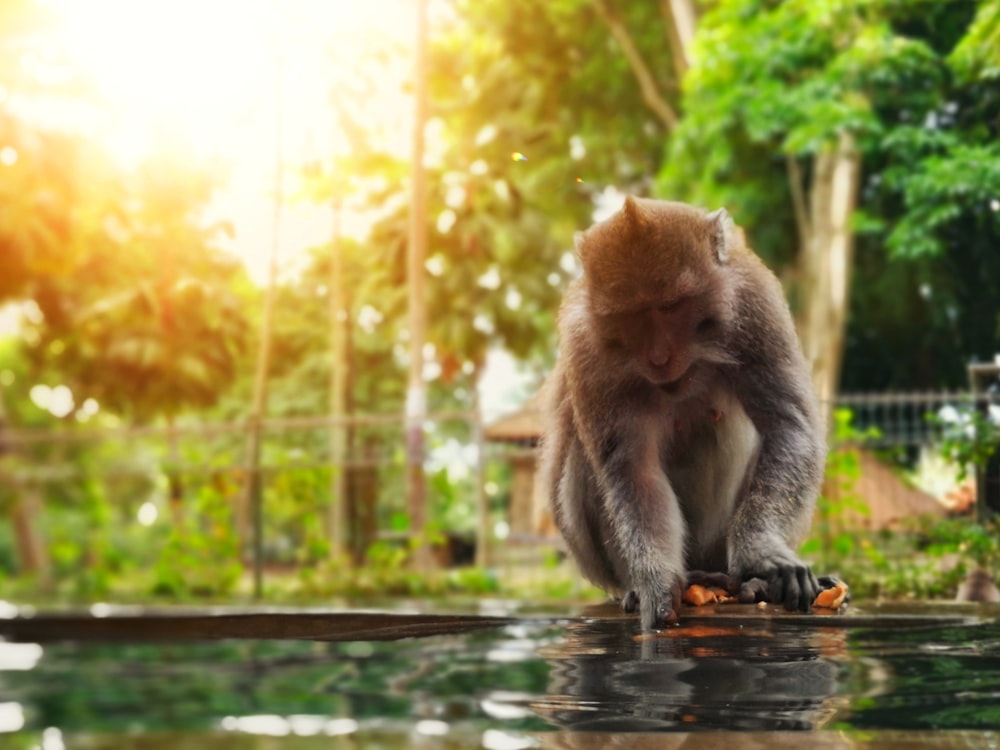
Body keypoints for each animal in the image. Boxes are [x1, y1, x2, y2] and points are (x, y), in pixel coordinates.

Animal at [544, 197, 824, 632]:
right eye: (631, 315)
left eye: (672, 305)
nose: (659, 357)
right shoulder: (585, 344)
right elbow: (634, 470)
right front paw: (656, 581)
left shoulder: (754, 301)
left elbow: (788, 426)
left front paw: (762, 553)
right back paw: (639, 587)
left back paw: (750, 583)